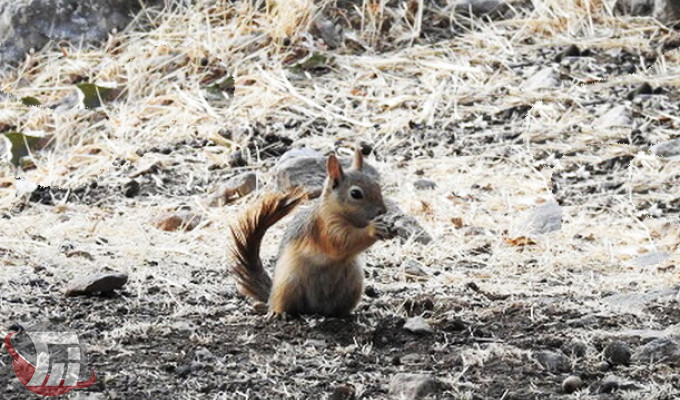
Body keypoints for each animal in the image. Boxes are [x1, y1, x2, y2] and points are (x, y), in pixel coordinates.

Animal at [228, 148, 388, 318]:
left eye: (377, 186)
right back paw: (278, 312)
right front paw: (373, 229)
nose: (383, 211)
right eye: (356, 194)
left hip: (354, 285)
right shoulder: (324, 227)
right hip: (288, 284)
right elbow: (342, 240)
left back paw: (345, 314)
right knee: (283, 303)